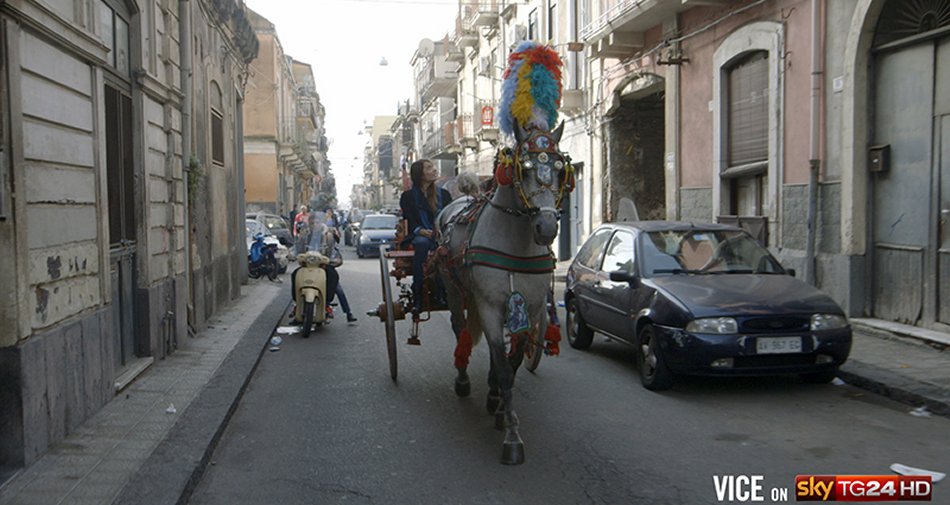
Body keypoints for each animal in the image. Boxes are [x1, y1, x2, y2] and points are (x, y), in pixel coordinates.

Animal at [436, 123, 572, 464]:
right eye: (525, 167)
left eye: (560, 169)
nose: (546, 228)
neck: (515, 245)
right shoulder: (489, 307)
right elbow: (501, 361)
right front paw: (512, 435)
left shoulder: (530, 309)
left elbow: (512, 362)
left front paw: (498, 404)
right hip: (453, 288)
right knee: (459, 328)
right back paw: (462, 378)